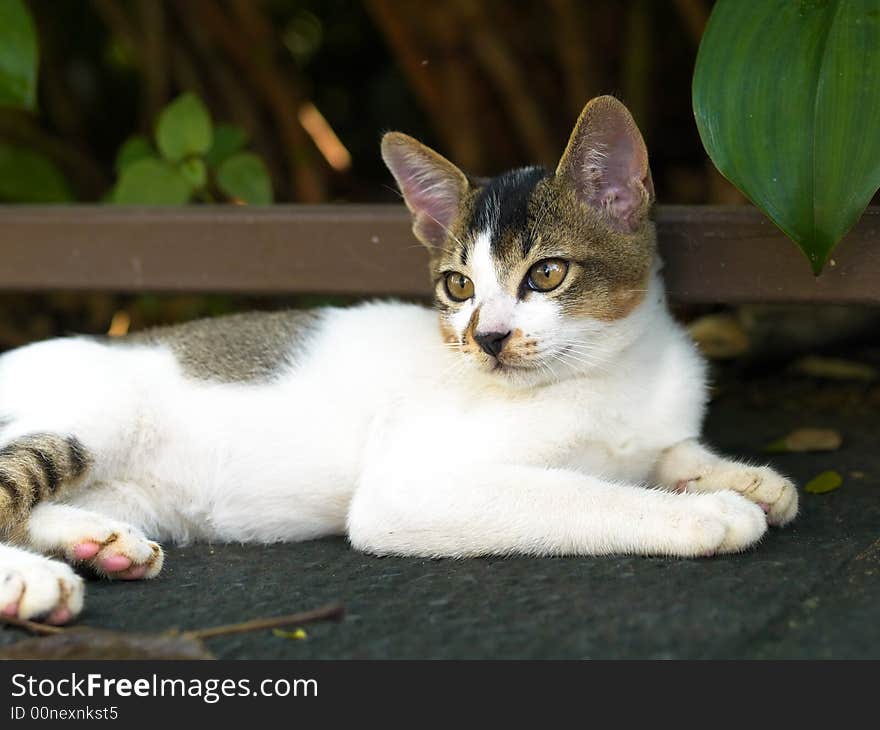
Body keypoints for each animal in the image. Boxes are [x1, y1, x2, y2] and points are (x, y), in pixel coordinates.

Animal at [0, 94, 796, 624]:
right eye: (459, 286)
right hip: (95, 417)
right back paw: (33, 584)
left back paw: (99, 544)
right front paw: (706, 512)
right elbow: (580, 493)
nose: (488, 338)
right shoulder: (411, 487)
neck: (607, 373)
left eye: (546, 273)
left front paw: (742, 477)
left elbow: (666, 451)